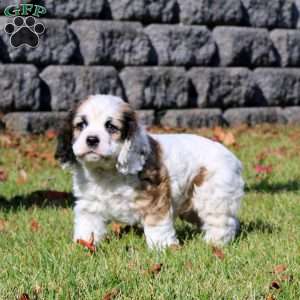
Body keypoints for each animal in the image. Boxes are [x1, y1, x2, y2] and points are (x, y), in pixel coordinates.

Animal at [56, 95, 244, 250]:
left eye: (110, 126)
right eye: (81, 125)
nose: (92, 139)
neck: (107, 171)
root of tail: (233, 159)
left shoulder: (155, 198)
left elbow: (157, 225)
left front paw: (163, 248)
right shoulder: (89, 204)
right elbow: (88, 225)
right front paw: (83, 245)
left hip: (213, 197)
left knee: (222, 222)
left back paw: (214, 243)